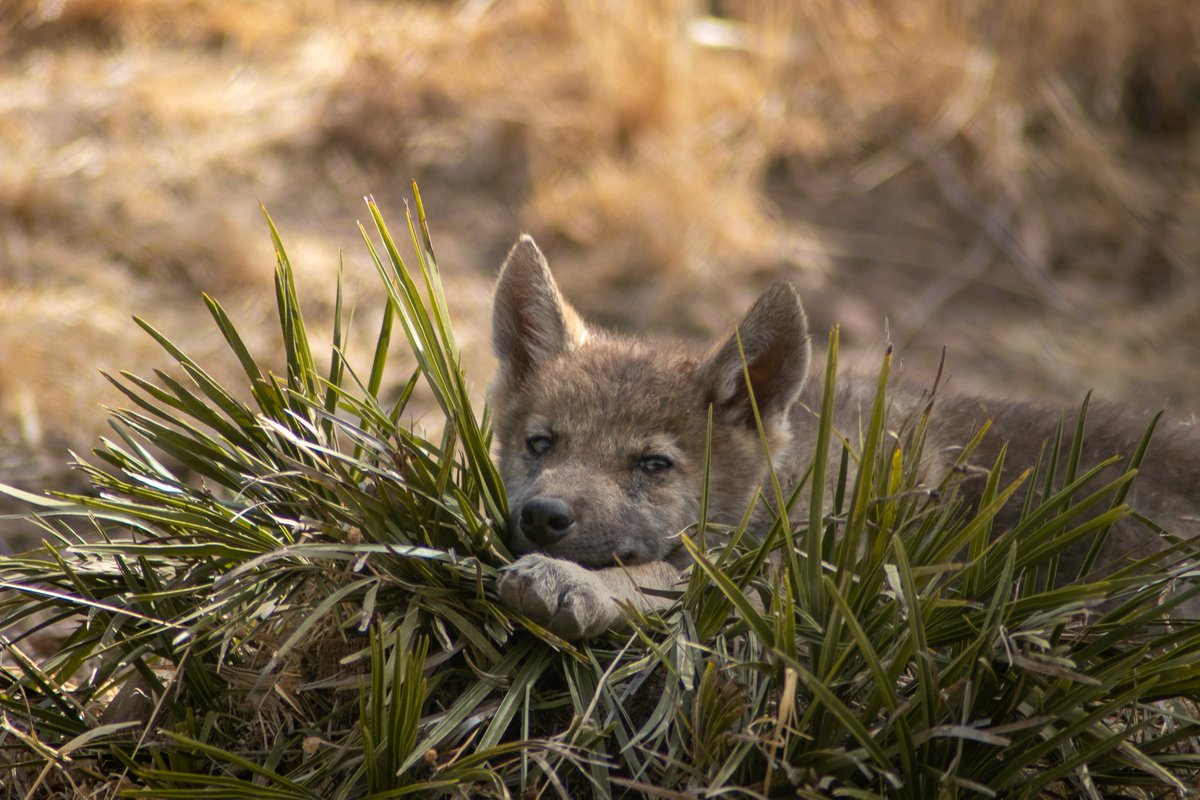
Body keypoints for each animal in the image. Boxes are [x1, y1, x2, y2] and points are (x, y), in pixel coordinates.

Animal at [490, 235, 1200, 639]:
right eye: (541, 444)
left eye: (653, 464)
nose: (542, 515)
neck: (798, 484)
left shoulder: (815, 586)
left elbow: (669, 574)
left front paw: (576, 585)